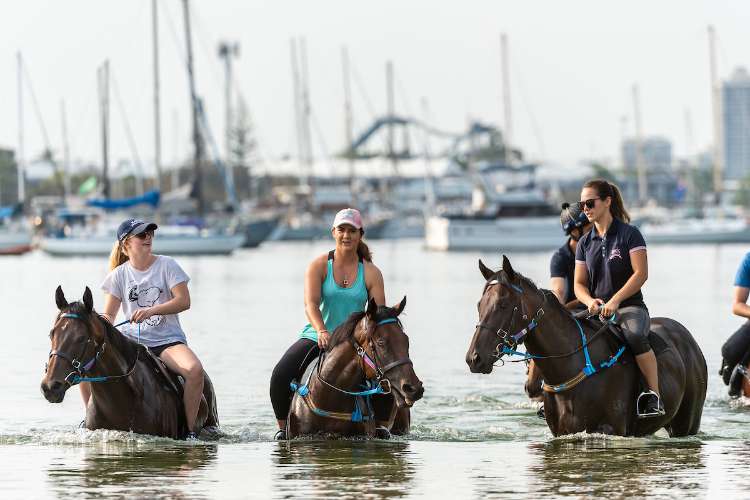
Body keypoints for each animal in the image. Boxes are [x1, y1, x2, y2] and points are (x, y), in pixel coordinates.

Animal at [465, 256, 707, 437]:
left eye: (503, 304)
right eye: (479, 305)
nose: (474, 358)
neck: (573, 365)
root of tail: (688, 338)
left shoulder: (610, 430)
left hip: (687, 424)